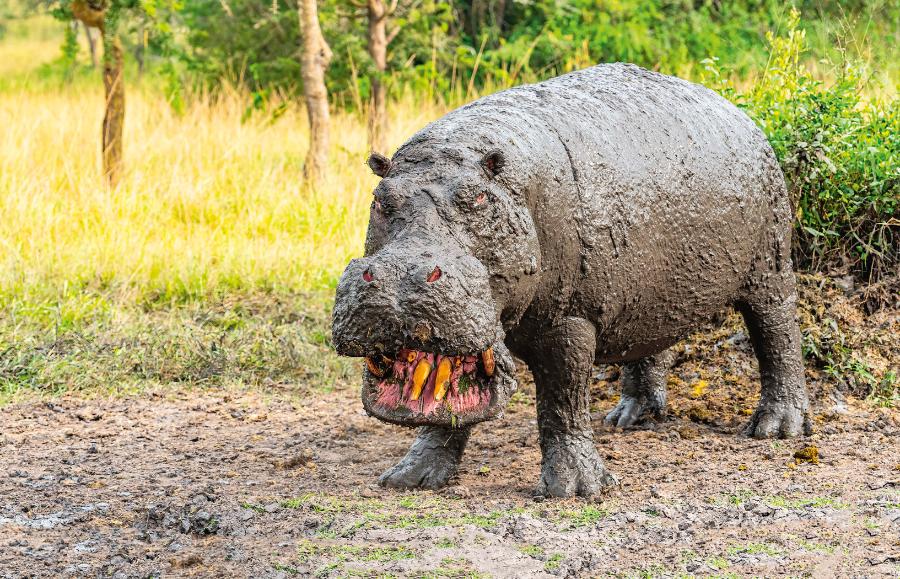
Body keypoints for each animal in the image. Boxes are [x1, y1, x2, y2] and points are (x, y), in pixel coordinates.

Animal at [330, 64, 808, 498]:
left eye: (479, 199)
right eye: (380, 200)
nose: (400, 276)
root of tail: (741, 113)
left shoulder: (569, 319)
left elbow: (563, 399)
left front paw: (576, 489)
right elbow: (441, 411)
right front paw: (407, 479)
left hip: (769, 267)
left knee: (777, 333)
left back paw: (775, 429)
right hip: (649, 291)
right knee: (649, 344)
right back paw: (629, 419)